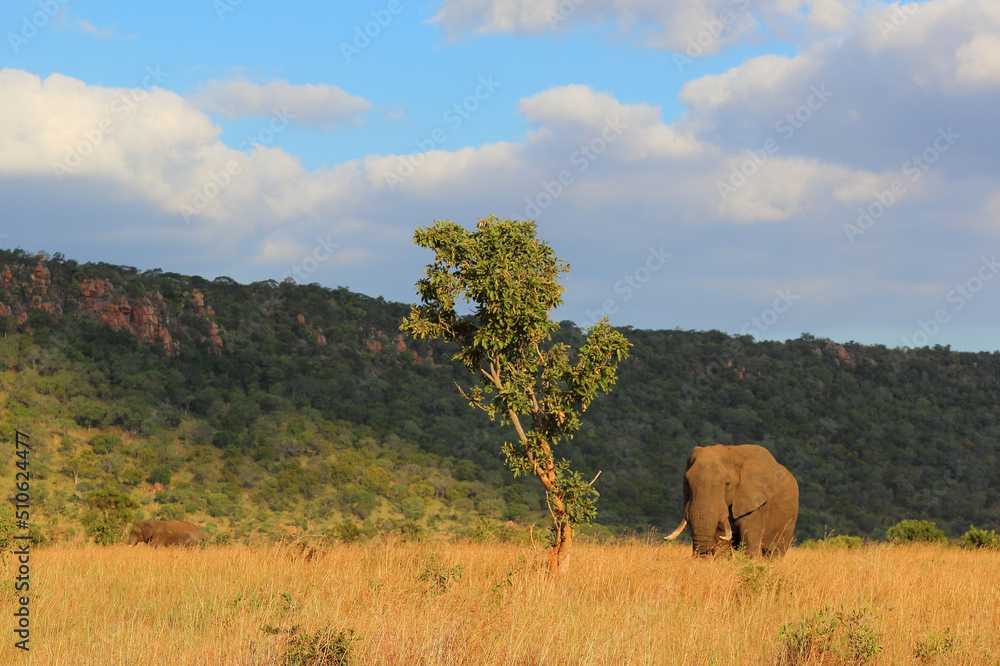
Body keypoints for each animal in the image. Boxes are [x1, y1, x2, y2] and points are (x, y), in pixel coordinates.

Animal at [663, 444, 798, 557]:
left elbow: (750, 540)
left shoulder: (752, 500)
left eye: (727, 483)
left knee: (775, 552)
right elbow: (721, 544)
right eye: (686, 483)